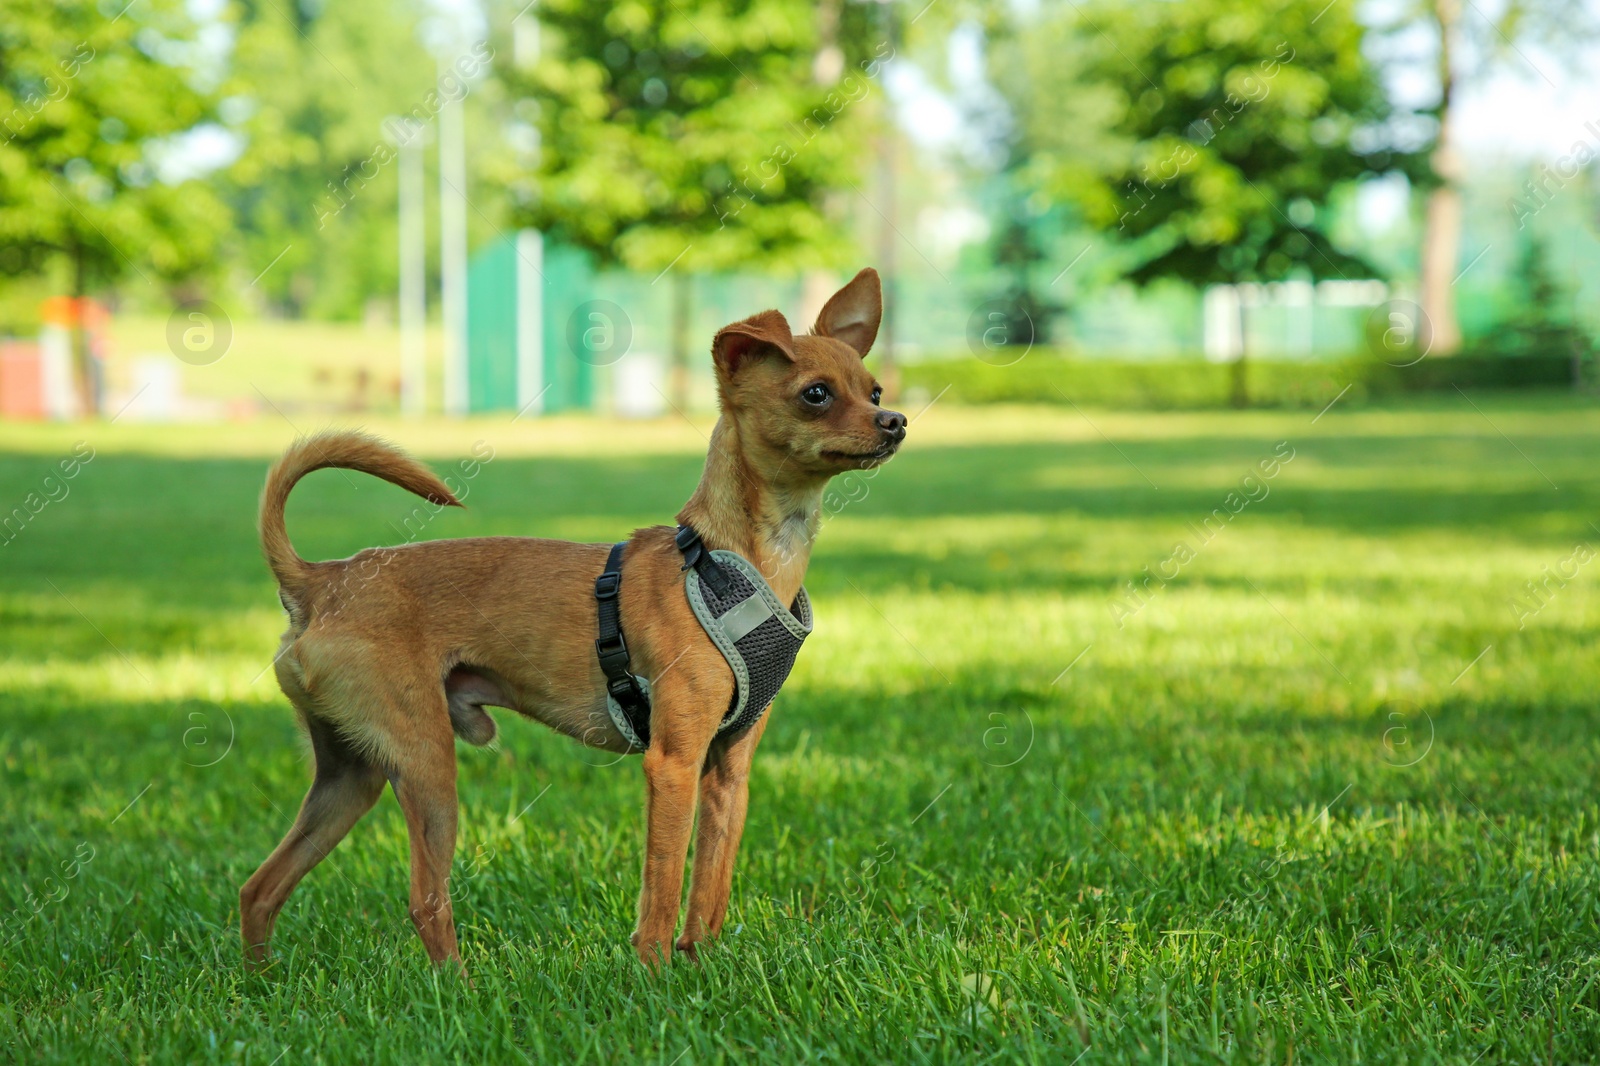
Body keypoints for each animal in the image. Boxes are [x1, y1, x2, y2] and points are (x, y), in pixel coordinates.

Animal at [243, 267, 908, 973]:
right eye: (816, 394)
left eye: (873, 390)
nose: (895, 420)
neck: (733, 561)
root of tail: (320, 581)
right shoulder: (673, 762)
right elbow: (663, 885)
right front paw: (655, 973)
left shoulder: (729, 769)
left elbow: (710, 887)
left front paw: (700, 964)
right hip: (426, 766)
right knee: (425, 900)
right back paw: (460, 988)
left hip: (352, 776)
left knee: (259, 889)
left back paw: (261, 984)